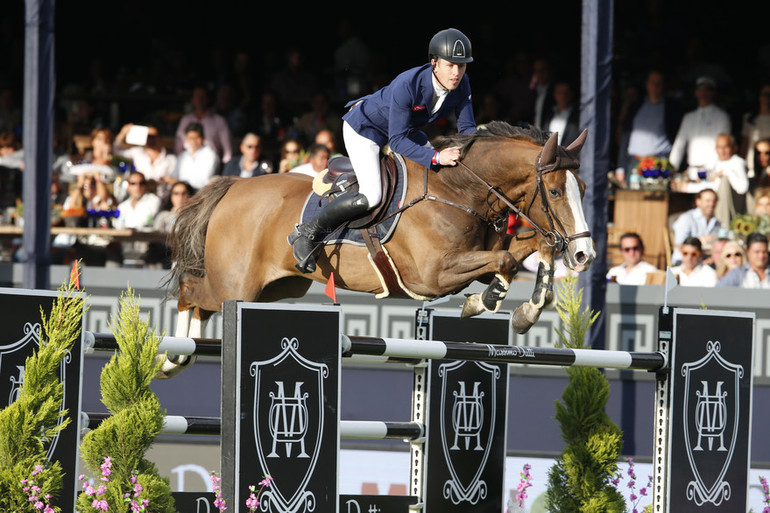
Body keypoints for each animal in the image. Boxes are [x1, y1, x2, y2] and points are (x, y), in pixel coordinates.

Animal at [160, 120, 592, 376]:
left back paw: (183, 354)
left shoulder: (476, 258)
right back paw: (172, 357)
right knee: (191, 293)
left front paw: (526, 310)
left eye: (584, 189)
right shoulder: (432, 276)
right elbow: (504, 262)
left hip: (275, 288)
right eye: (555, 192)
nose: (584, 256)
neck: (460, 191)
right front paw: (482, 303)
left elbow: (529, 250)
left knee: (203, 303)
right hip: (236, 285)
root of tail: (233, 187)